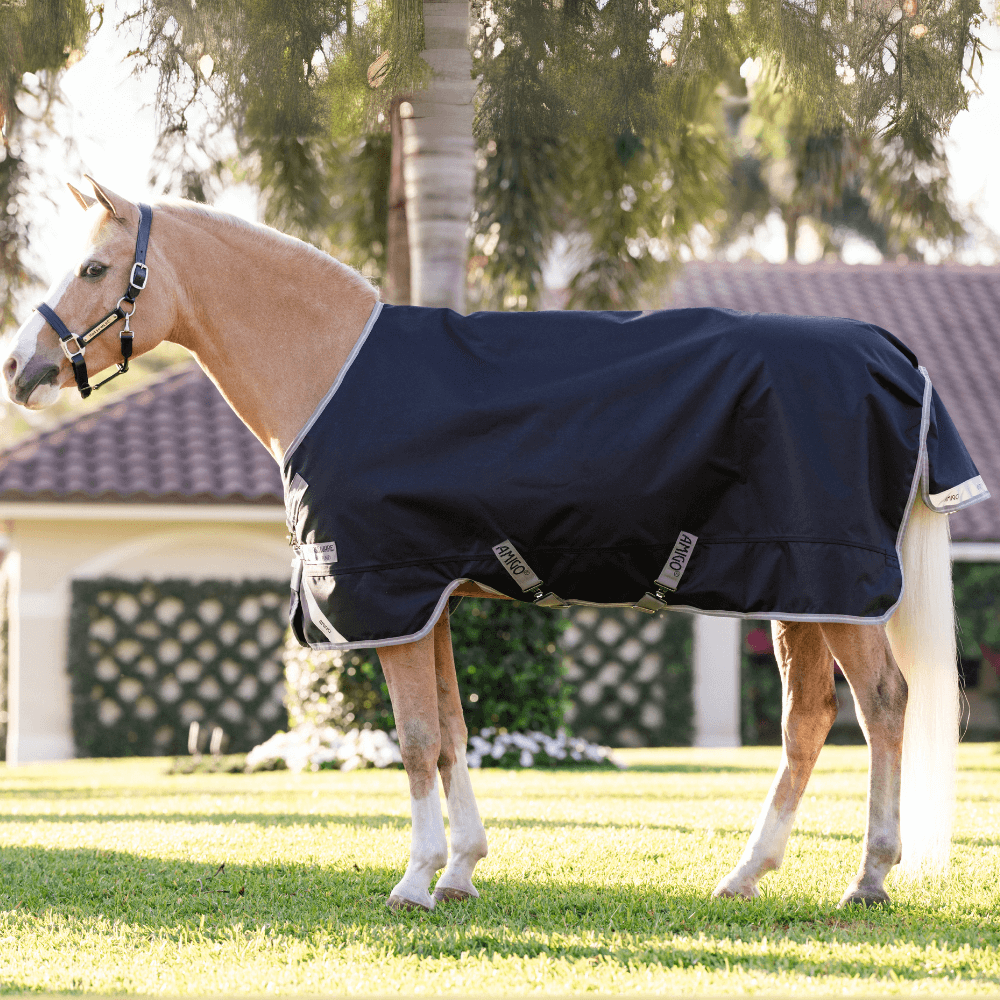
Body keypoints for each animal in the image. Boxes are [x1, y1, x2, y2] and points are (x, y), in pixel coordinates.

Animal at [3, 177, 970, 911]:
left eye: (94, 268)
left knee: (883, 703)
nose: (20, 371)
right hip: (799, 589)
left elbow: (414, 737)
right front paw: (462, 870)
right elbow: (454, 732)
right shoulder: (428, 601)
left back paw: (869, 879)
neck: (331, 369)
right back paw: (745, 876)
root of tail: (893, 355)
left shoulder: (389, 597)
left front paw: (415, 880)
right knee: (807, 721)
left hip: (835, 588)